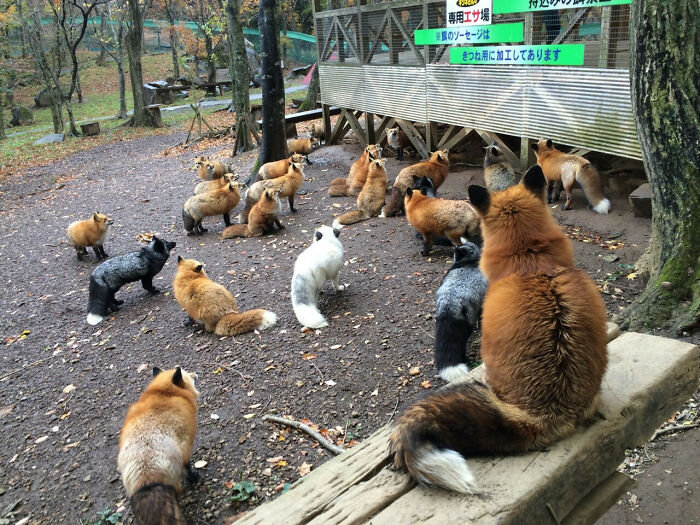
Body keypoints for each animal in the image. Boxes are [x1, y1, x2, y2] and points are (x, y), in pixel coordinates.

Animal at [118, 366, 199, 525]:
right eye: (188, 375)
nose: (196, 374)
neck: (165, 393)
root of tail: (146, 475)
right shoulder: (186, 443)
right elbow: (187, 466)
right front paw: (193, 476)